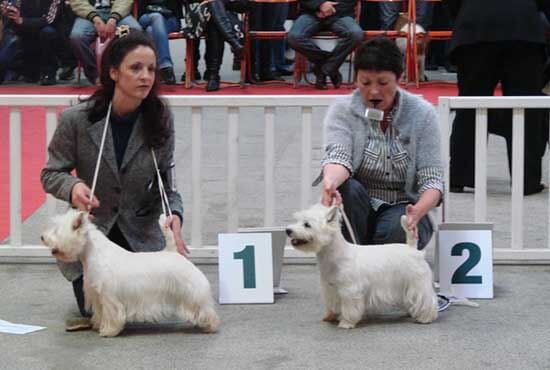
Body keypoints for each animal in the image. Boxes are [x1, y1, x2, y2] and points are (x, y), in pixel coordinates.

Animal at [41, 210, 220, 336]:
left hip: (191, 291)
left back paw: (210, 326)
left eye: (56, 230)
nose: (42, 236)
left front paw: (108, 331)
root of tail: (173, 251)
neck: (92, 253)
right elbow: (100, 312)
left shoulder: (109, 297)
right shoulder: (97, 295)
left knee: (204, 308)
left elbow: (111, 314)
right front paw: (98, 324)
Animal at [286, 205, 438, 330]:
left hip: (418, 282)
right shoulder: (330, 288)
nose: (288, 230)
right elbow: (334, 303)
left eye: (307, 224)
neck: (335, 255)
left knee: (427, 299)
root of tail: (412, 249)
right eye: (297, 220)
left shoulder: (349, 290)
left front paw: (346, 323)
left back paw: (426, 318)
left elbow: (349, 308)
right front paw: (332, 316)